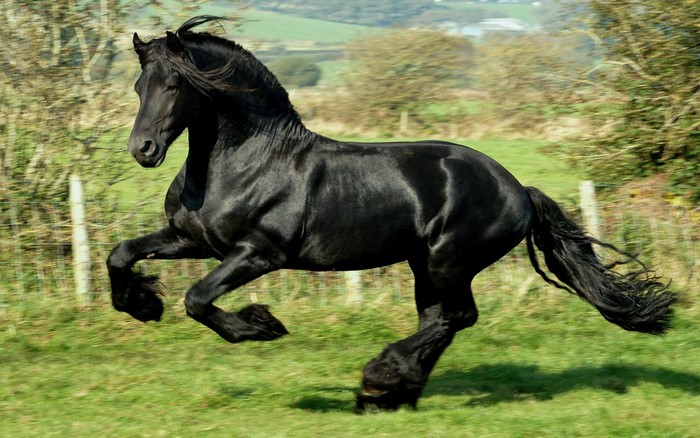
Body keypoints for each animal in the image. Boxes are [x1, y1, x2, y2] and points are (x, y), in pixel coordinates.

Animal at [107, 16, 677, 412]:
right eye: (138, 87)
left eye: (175, 85)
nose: (143, 150)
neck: (246, 160)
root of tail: (518, 188)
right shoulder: (194, 240)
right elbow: (121, 254)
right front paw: (141, 305)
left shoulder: (259, 254)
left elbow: (198, 299)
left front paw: (262, 326)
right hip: (424, 263)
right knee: (440, 320)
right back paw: (392, 395)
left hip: (450, 259)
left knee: (454, 317)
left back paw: (380, 378)